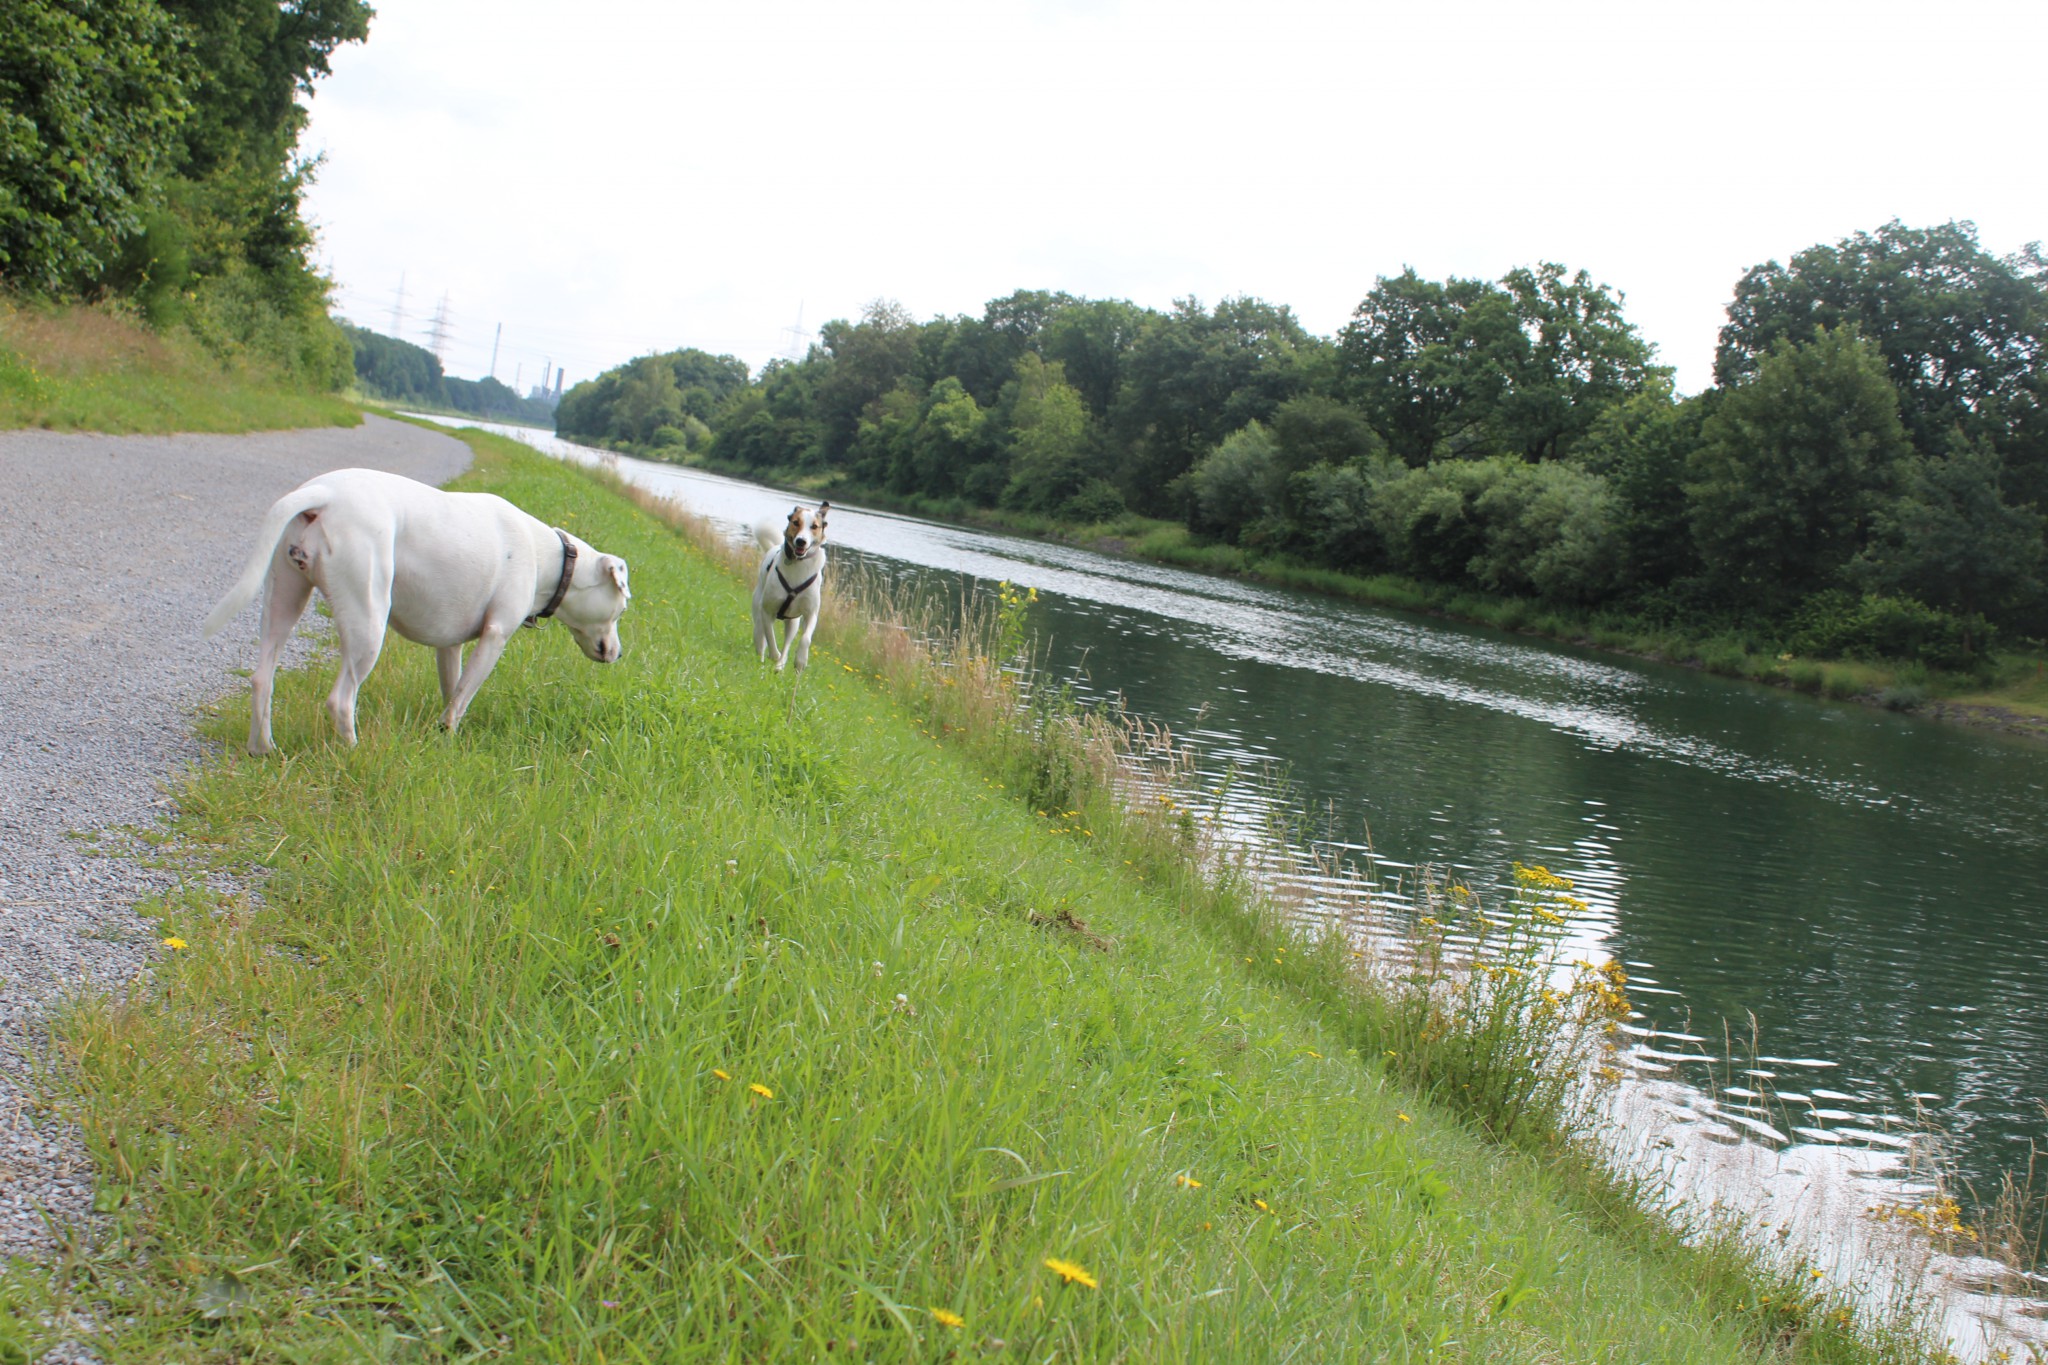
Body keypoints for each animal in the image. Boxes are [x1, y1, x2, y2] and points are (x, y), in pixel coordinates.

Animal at [202, 467, 631, 754]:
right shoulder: (495, 638)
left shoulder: (451, 647)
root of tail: (323, 494)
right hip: (367, 622)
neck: (553, 559)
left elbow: (452, 688)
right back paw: (353, 751)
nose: (619, 653)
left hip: (285, 598)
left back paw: (263, 748)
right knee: (341, 699)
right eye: (622, 608)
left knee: (262, 678)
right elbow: (462, 698)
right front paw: (448, 735)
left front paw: (444, 734)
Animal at [750, 501, 829, 673]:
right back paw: (764, 660)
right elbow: (770, 638)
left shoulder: (811, 613)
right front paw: (774, 655)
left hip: (793, 623)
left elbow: (806, 638)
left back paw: (780, 665)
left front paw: (800, 660)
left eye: (814, 526)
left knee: (787, 643)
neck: (798, 563)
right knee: (760, 638)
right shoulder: (767, 611)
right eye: (796, 522)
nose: (801, 541)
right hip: (758, 612)